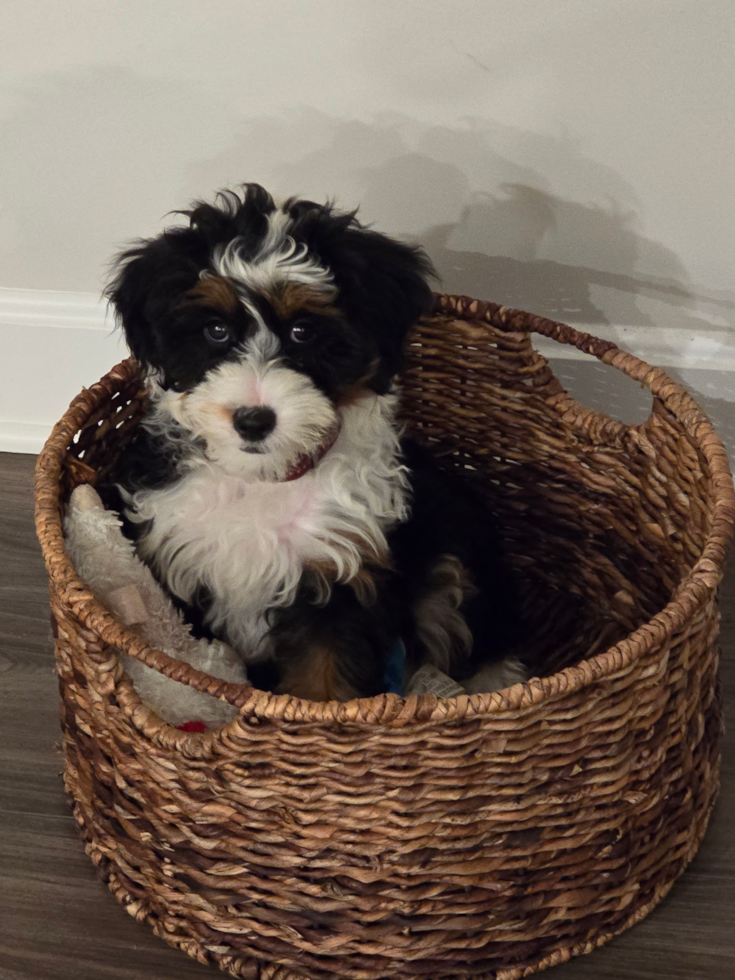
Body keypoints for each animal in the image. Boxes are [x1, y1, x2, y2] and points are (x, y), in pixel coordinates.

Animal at [103, 184, 520, 700]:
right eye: (216, 330)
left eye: (303, 331)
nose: (253, 420)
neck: (264, 480)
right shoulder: (180, 559)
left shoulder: (339, 572)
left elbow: (324, 678)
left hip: (451, 570)